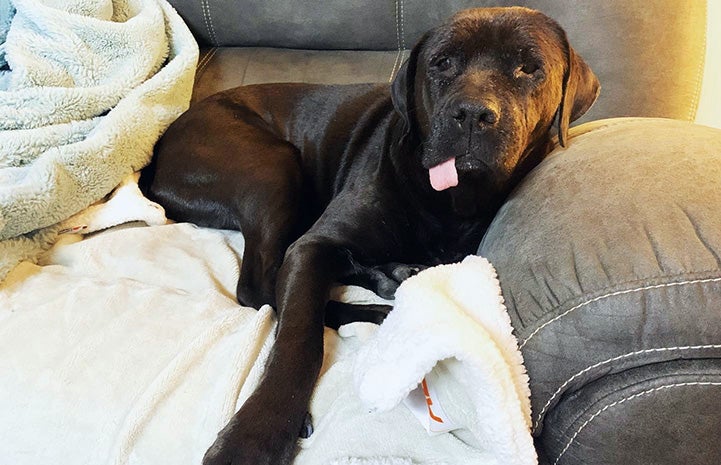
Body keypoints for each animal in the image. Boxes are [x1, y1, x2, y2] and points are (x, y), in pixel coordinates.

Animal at [139, 7, 596, 464]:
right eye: (442, 63)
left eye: (529, 68)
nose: (472, 114)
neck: (448, 200)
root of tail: (160, 147)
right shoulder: (313, 246)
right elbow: (299, 336)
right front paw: (256, 434)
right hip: (270, 166)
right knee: (260, 286)